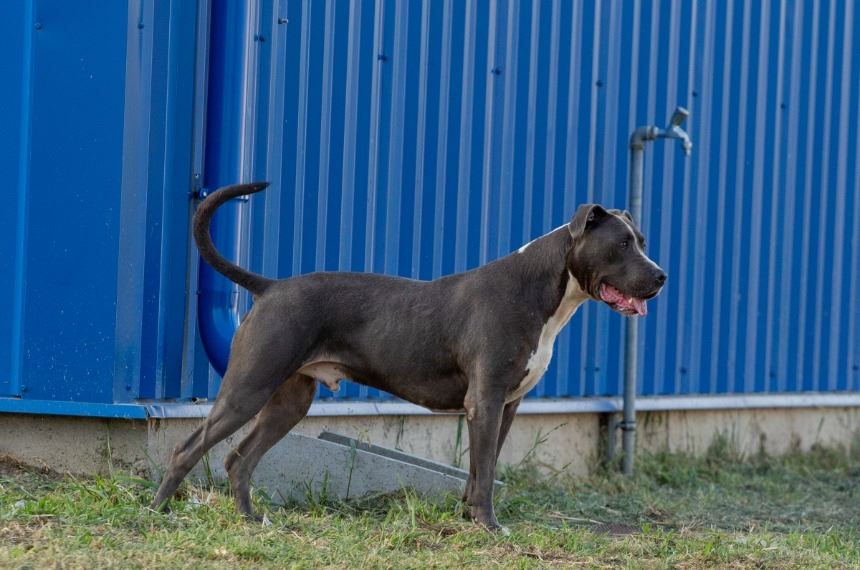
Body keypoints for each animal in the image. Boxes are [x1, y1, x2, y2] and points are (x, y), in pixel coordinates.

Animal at [152, 182, 666, 531]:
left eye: (642, 239)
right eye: (622, 244)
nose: (662, 276)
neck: (543, 290)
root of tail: (272, 288)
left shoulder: (505, 406)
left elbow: (481, 469)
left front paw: (469, 519)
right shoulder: (485, 401)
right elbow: (485, 473)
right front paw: (489, 527)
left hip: (288, 401)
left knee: (239, 459)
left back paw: (251, 519)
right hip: (248, 387)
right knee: (186, 449)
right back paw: (157, 512)